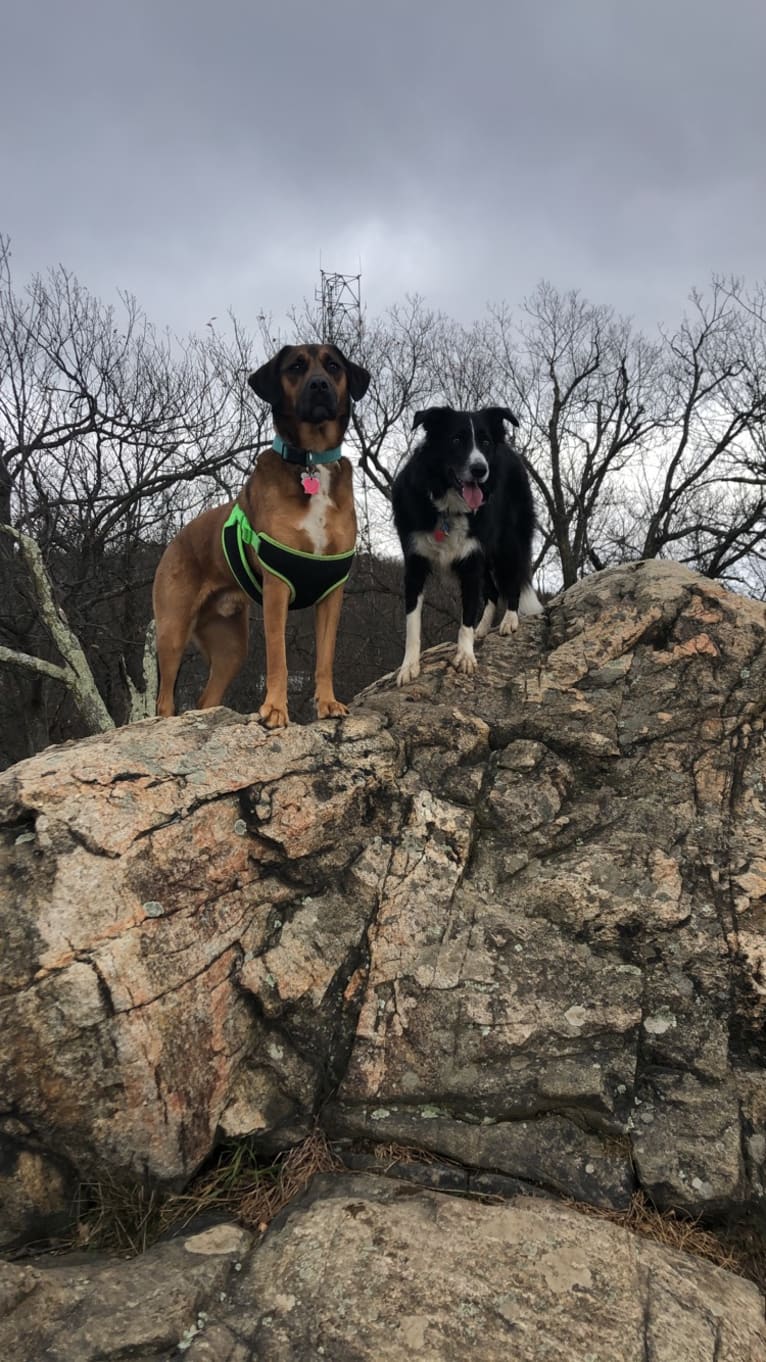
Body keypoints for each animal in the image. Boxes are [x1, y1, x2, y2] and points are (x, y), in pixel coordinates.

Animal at [149, 343, 370, 724]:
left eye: (333, 366)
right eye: (296, 366)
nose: (320, 386)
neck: (309, 461)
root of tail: (174, 540)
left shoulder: (332, 591)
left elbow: (325, 656)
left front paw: (327, 703)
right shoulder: (277, 588)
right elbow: (278, 657)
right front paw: (275, 709)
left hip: (231, 646)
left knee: (206, 699)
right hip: (172, 628)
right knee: (165, 701)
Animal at [389, 400, 539, 681]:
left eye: (485, 442)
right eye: (456, 439)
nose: (480, 470)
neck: (448, 507)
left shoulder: (471, 562)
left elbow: (466, 616)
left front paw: (466, 656)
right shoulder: (415, 562)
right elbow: (413, 620)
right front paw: (409, 666)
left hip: (508, 543)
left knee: (512, 580)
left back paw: (509, 620)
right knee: (492, 592)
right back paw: (484, 628)